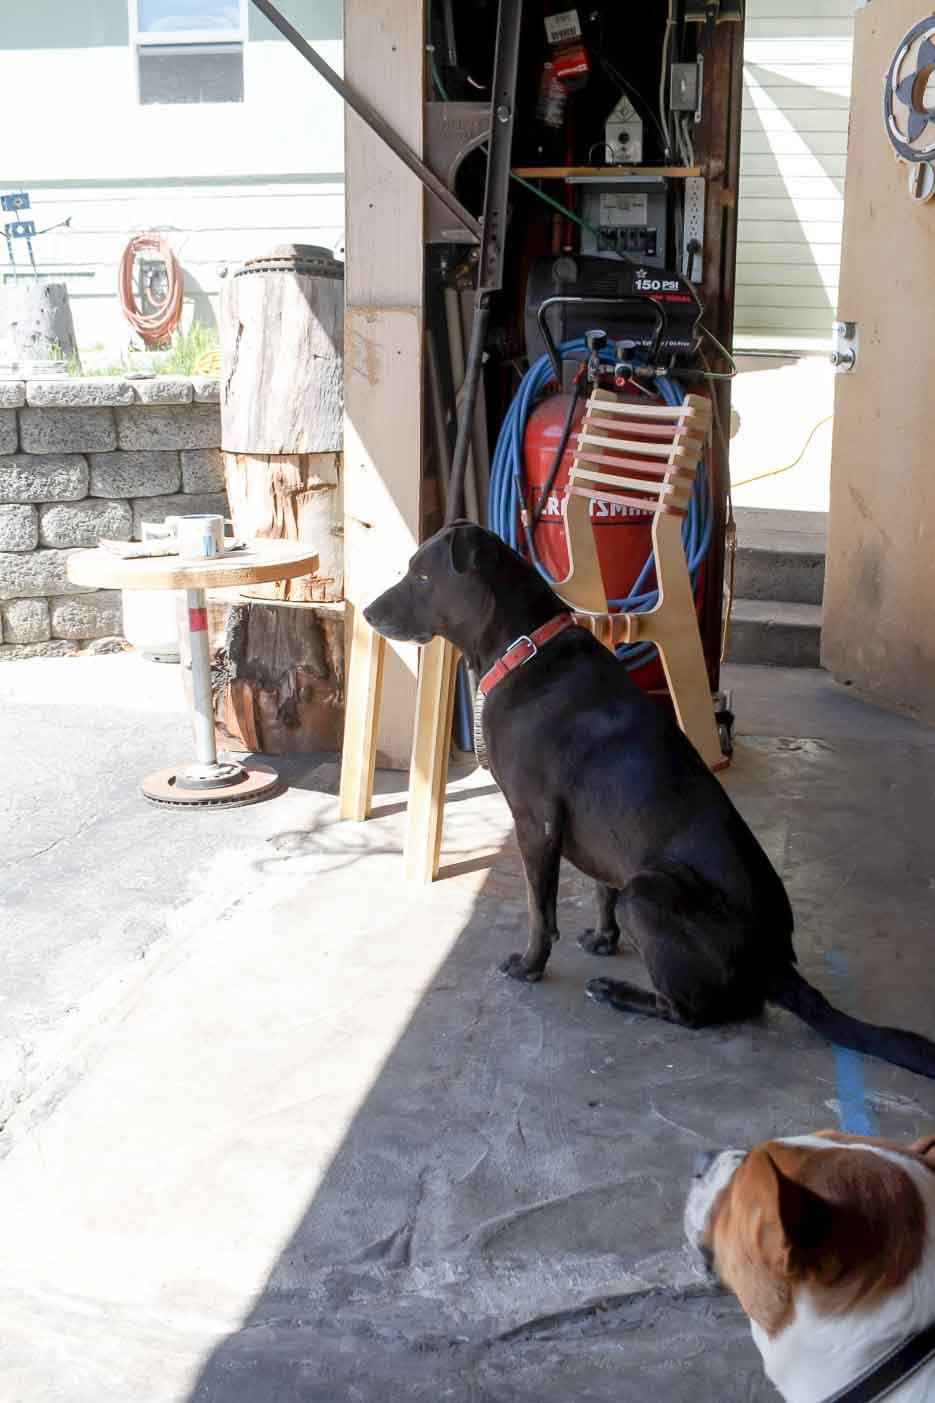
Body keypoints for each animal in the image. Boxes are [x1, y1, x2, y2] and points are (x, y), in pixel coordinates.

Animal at [362, 521, 932, 1077]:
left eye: (421, 577)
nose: (366, 613)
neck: (524, 647)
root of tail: (775, 961)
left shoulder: (535, 822)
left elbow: (539, 908)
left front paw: (530, 965)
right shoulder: (598, 832)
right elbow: (599, 888)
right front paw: (603, 940)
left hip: (647, 892)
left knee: (692, 1013)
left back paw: (618, 993)